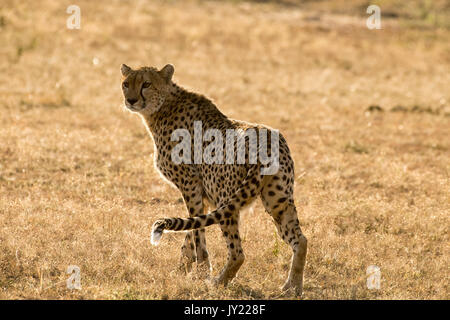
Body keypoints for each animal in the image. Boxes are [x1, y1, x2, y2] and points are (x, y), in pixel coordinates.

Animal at [120, 63, 310, 296]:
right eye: (126, 83)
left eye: (146, 84)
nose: (131, 100)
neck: (163, 105)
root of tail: (264, 139)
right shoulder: (204, 194)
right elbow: (190, 230)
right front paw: (182, 268)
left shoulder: (191, 184)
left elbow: (197, 232)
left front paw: (201, 271)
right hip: (278, 199)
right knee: (300, 240)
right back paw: (293, 287)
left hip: (226, 197)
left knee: (238, 252)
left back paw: (218, 282)